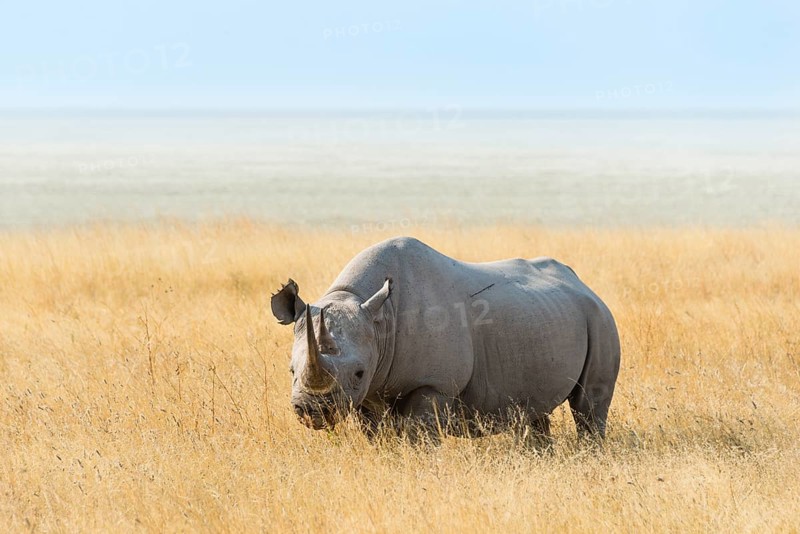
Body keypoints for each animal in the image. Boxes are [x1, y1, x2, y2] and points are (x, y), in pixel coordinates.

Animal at [271, 237, 620, 439]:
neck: (378, 319)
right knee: (534, 413)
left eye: (358, 372)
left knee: (589, 406)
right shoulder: (369, 390)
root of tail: (584, 284)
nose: (311, 411)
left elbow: (420, 436)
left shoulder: (433, 385)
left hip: (599, 318)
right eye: (291, 370)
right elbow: (377, 436)